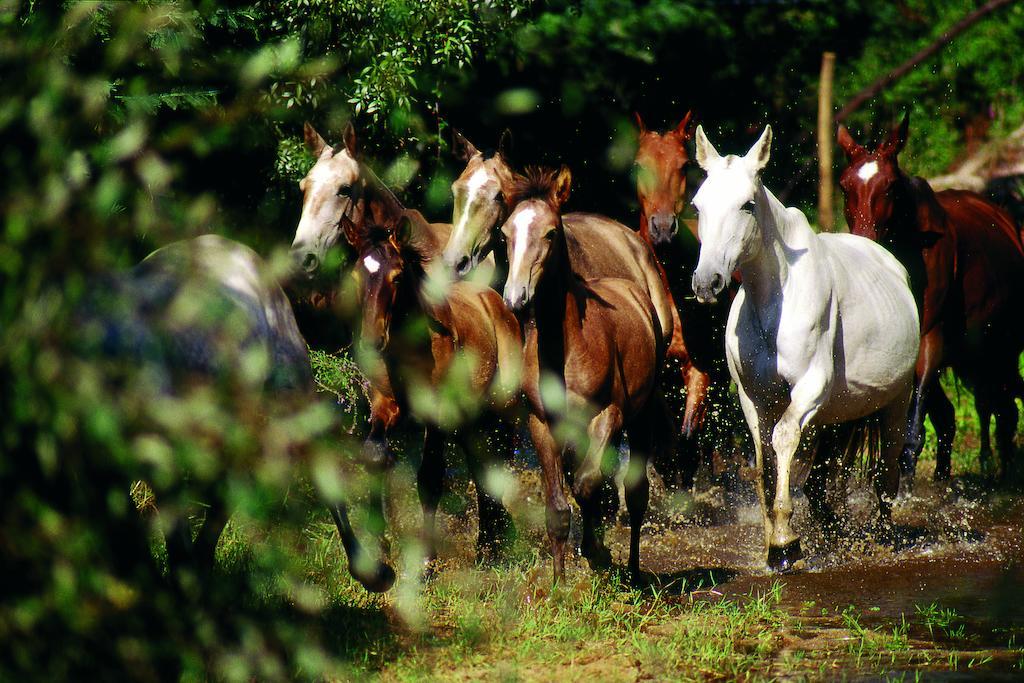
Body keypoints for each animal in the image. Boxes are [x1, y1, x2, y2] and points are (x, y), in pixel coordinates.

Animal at [354, 219, 528, 565]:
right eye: (356, 275)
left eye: (396, 277)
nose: (372, 341)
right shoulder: (385, 404)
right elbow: (375, 455)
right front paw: (379, 547)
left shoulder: (435, 413)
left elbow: (430, 479)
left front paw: (425, 562)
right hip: (469, 425)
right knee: (482, 471)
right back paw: (488, 545)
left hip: (501, 416)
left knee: (495, 469)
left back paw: (494, 545)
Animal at [692, 124, 917, 573]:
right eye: (698, 205)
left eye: (746, 205)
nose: (707, 283)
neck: (773, 303)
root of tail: (893, 265)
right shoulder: (754, 398)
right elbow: (763, 459)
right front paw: (771, 539)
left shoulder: (809, 388)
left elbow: (781, 441)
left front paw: (784, 542)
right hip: (837, 413)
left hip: (897, 402)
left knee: (887, 470)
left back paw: (883, 536)